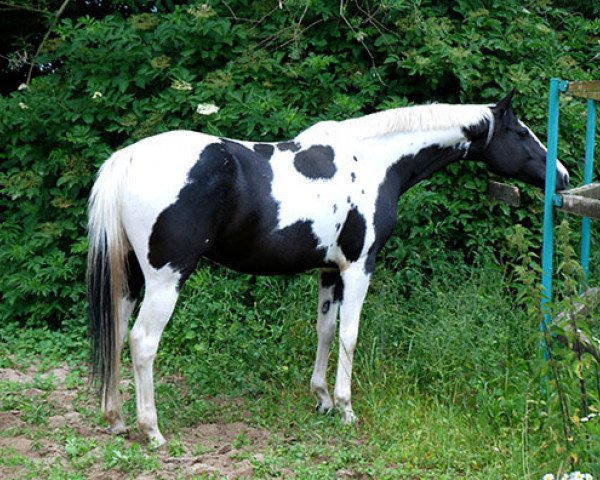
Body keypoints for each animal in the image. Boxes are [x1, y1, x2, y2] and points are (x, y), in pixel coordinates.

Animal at [86, 92, 568, 444]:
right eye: (523, 133)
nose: (562, 176)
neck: (374, 161)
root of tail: (127, 159)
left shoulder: (330, 271)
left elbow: (325, 330)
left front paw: (321, 400)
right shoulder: (359, 267)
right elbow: (350, 335)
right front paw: (346, 408)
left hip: (131, 278)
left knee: (116, 332)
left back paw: (116, 419)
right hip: (166, 279)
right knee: (142, 342)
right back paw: (152, 430)